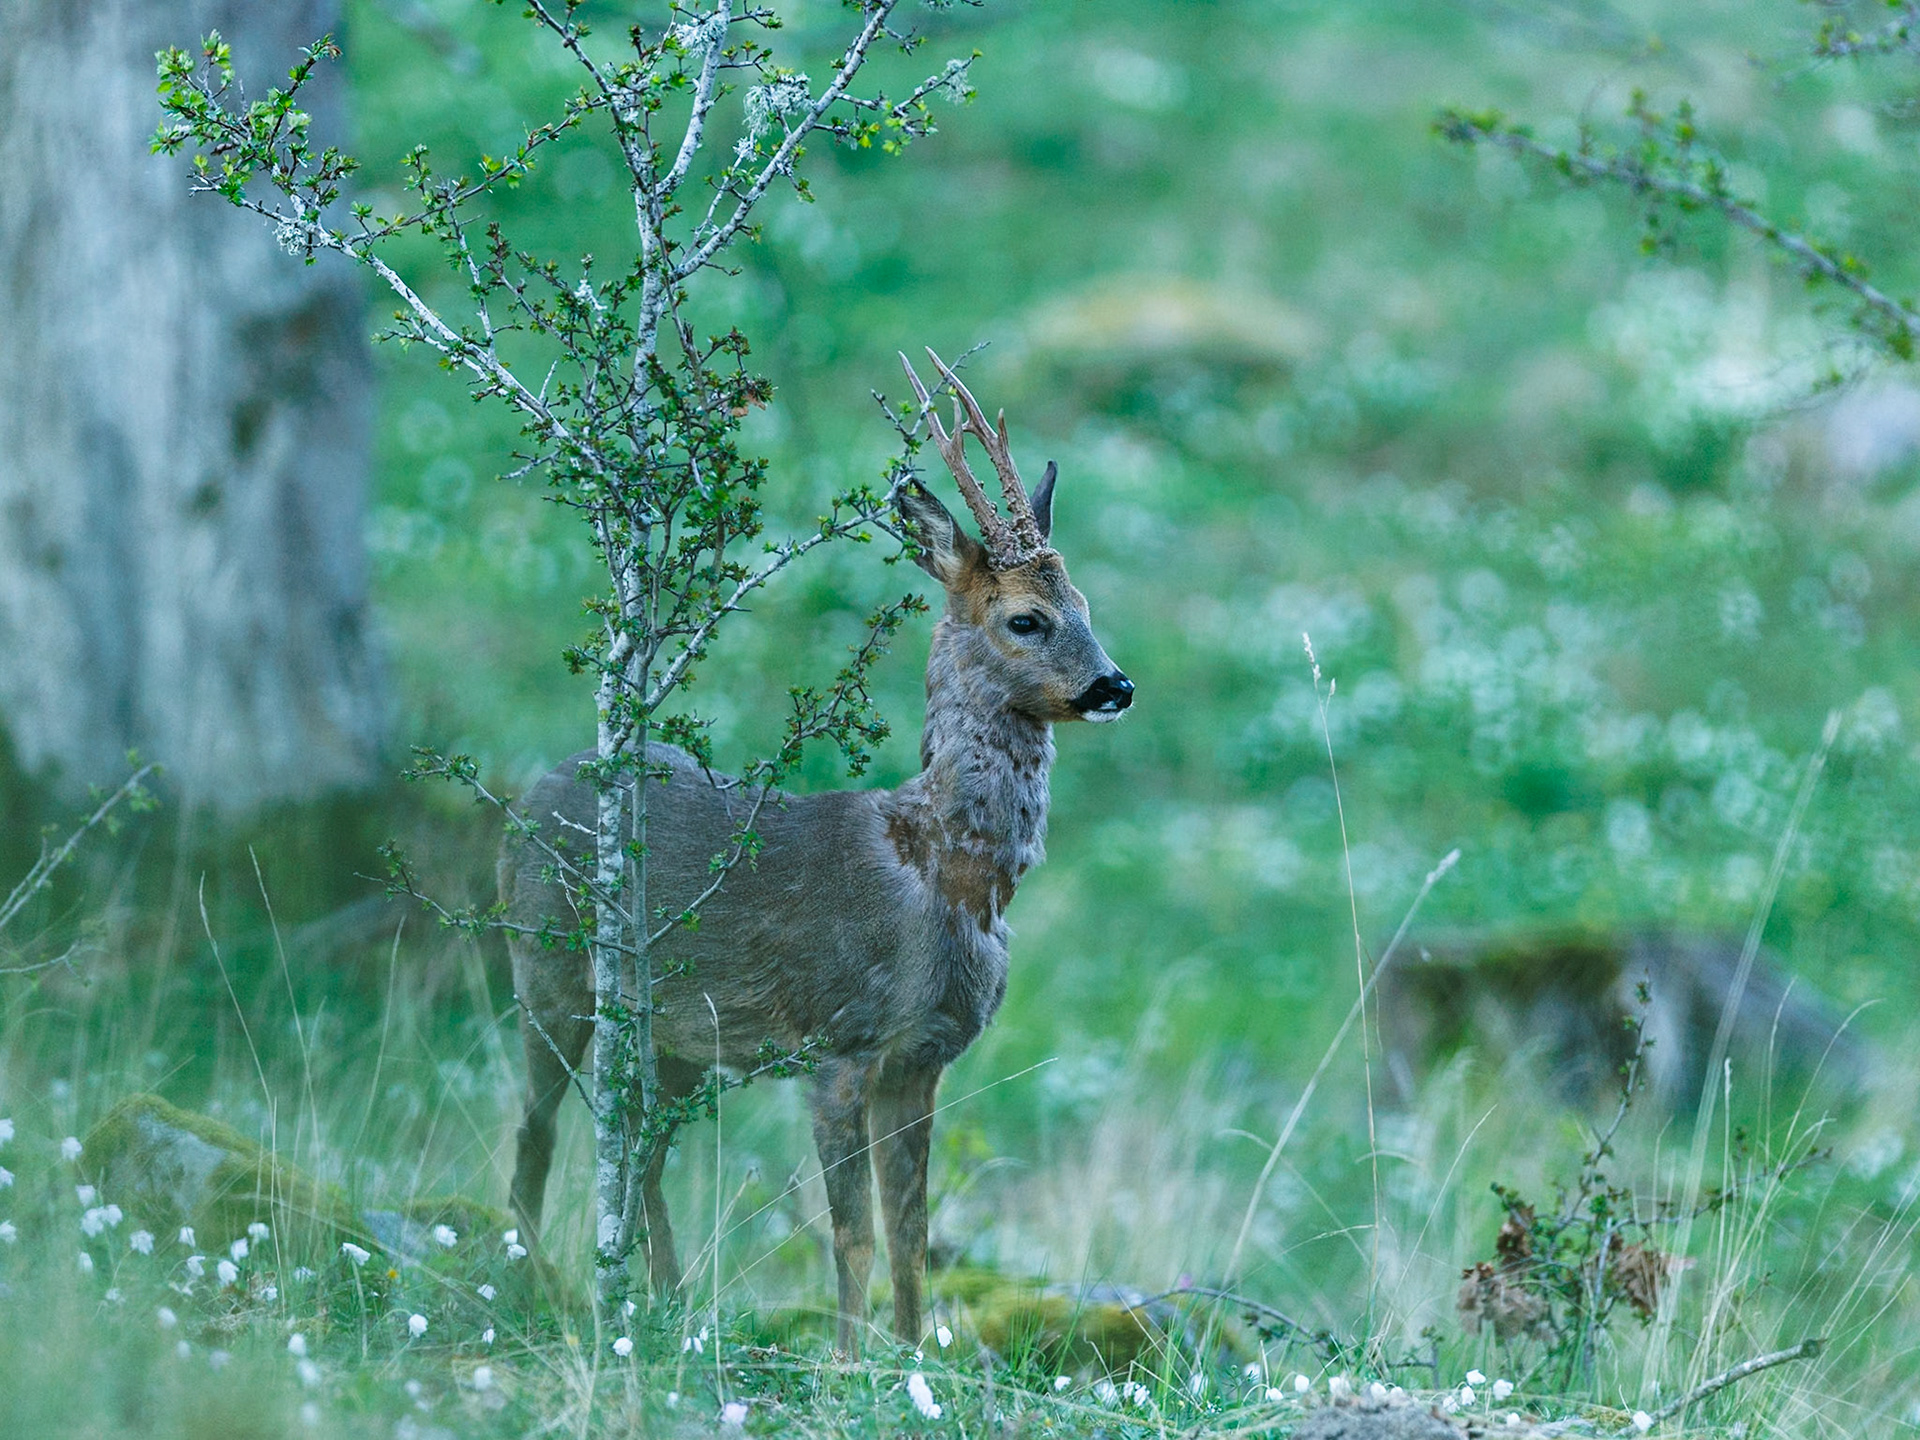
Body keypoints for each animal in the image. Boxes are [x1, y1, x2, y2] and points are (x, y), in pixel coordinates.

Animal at [499, 350, 1134, 1351]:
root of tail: (537, 791)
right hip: (548, 977)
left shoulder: (923, 1056)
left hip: (675, 1034)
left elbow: (912, 1232)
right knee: (540, 1134)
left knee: (643, 1153)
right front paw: (845, 1360)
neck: (944, 874)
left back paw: (668, 1300)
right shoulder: (844, 1038)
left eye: (1086, 606)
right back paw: (535, 1284)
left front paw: (911, 1356)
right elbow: (854, 1234)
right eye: (1027, 618)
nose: (1116, 685)